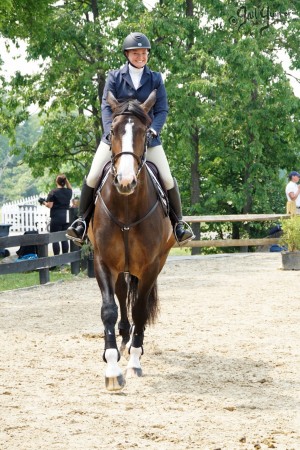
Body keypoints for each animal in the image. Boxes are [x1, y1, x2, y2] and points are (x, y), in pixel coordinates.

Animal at [90, 90, 176, 390]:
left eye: (144, 132)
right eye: (113, 131)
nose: (125, 181)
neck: (126, 205)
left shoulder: (150, 266)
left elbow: (139, 310)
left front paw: (135, 361)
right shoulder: (103, 262)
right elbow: (109, 310)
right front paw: (112, 367)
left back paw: (133, 345)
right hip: (120, 269)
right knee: (121, 296)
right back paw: (123, 341)